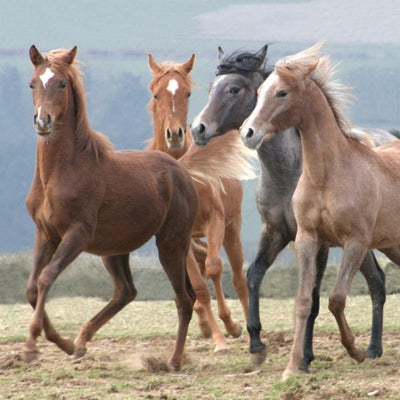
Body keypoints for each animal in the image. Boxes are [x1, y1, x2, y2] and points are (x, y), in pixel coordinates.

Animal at [25, 45, 203, 370]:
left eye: (61, 84)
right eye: (33, 83)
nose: (43, 122)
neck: (59, 173)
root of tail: (181, 171)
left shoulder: (77, 235)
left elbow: (46, 278)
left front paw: (32, 345)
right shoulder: (45, 234)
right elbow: (33, 287)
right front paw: (64, 343)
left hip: (171, 244)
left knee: (184, 299)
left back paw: (173, 360)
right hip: (115, 249)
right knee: (126, 291)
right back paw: (81, 341)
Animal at [147, 54, 252, 352]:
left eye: (187, 92)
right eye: (156, 93)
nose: (175, 134)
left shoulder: (215, 220)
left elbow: (214, 269)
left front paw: (230, 327)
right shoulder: (180, 240)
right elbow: (199, 285)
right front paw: (217, 338)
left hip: (232, 228)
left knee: (237, 277)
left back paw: (243, 326)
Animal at [191, 45, 396, 370]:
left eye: (235, 88)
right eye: (212, 87)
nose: (198, 128)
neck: (289, 174)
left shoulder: (318, 243)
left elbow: (313, 297)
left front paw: (306, 355)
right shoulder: (275, 233)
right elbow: (254, 275)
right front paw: (256, 345)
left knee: (376, 281)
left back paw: (370, 348)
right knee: (377, 281)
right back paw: (373, 349)